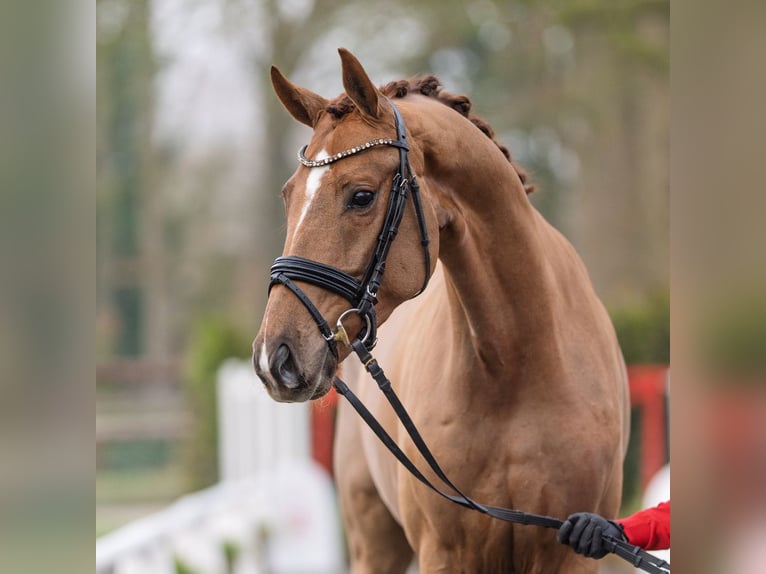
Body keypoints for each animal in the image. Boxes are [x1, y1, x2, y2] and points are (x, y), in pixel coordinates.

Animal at [253, 48, 630, 573]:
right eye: (288, 196)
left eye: (361, 195)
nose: (277, 358)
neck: (517, 364)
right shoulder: (446, 553)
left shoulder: (572, 555)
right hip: (374, 545)